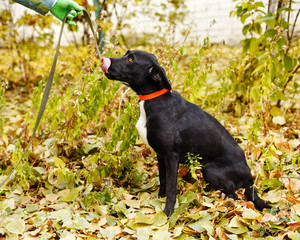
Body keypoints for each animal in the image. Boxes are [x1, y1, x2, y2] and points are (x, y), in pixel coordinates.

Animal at [100, 49, 270, 215]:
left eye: (130, 59)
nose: (103, 59)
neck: (154, 99)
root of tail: (249, 176)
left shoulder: (171, 156)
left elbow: (171, 187)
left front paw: (167, 213)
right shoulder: (161, 155)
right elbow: (163, 181)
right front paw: (159, 200)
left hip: (210, 169)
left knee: (234, 194)